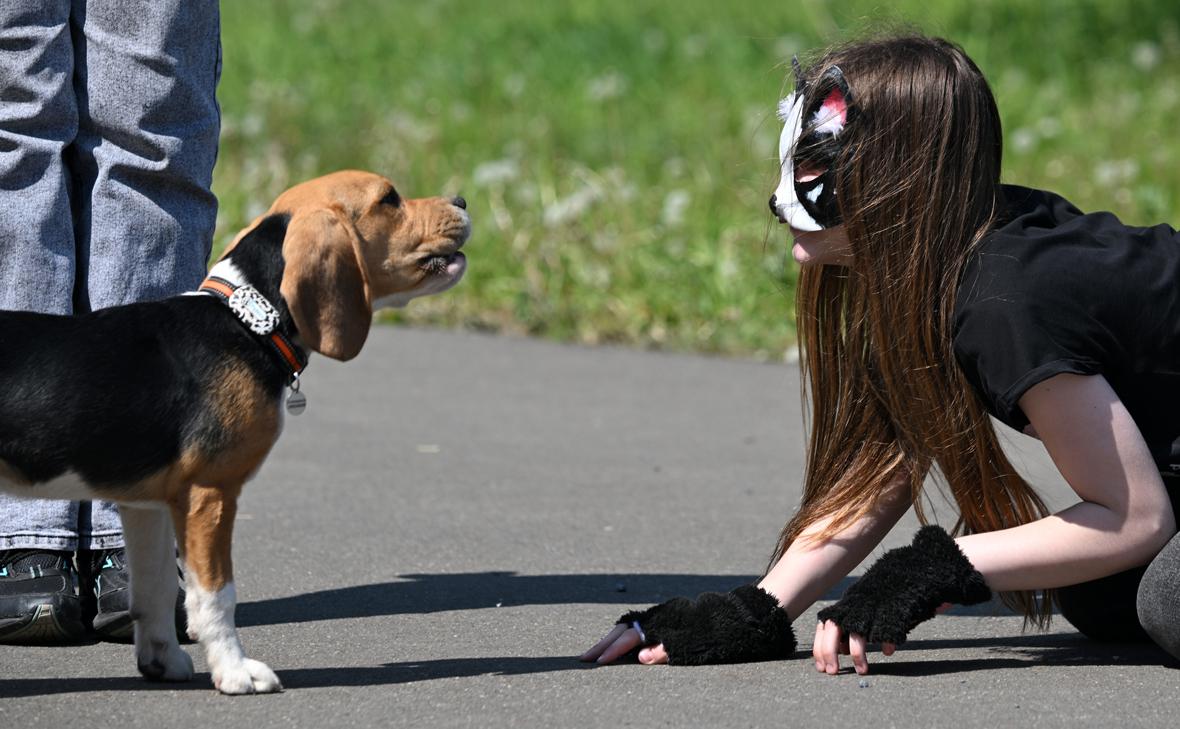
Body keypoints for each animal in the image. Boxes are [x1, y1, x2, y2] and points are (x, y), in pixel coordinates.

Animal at [0, 169, 469, 693]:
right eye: (389, 199)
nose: (462, 201)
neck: (248, 320)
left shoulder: (147, 506)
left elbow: (156, 590)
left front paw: (162, 661)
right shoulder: (210, 493)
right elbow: (216, 595)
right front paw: (235, 670)